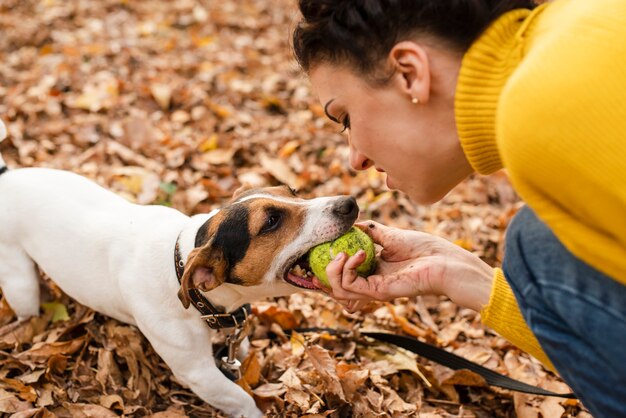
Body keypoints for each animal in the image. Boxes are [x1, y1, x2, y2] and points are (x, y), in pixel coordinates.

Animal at [0, 119, 356, 416]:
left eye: (291, 191)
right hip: (19, 283)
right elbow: (240, 398)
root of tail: (7, 177)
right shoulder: (197, 372)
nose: (350, 203)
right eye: (271, 221)